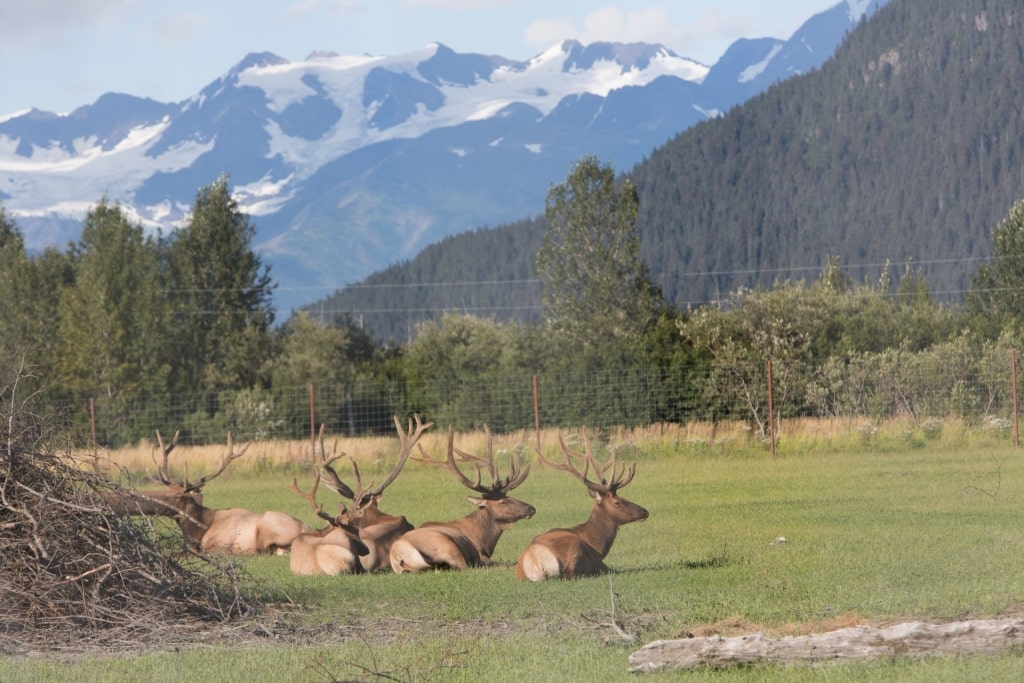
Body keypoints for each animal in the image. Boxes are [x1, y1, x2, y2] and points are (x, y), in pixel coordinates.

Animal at [111, 432, 311, 557]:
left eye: (179, 497)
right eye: (167, 492)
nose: (157, 506)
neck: (200, 530)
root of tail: (306, 529)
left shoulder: (216, 544)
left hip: (267, 526)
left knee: (261, 550)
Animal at [387, 423, 536, 573]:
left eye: (510, 496)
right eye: (503, 501)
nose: (531, 508)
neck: (484, 539)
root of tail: (398, 554)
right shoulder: (479, 554)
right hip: (447, 545)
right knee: (466, 567)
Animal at [516, 430, 651, 581]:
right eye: (617, 502)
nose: (644, 511)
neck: (597, 545)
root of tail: (535, 563)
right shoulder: (598, 562)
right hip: (574, 549)